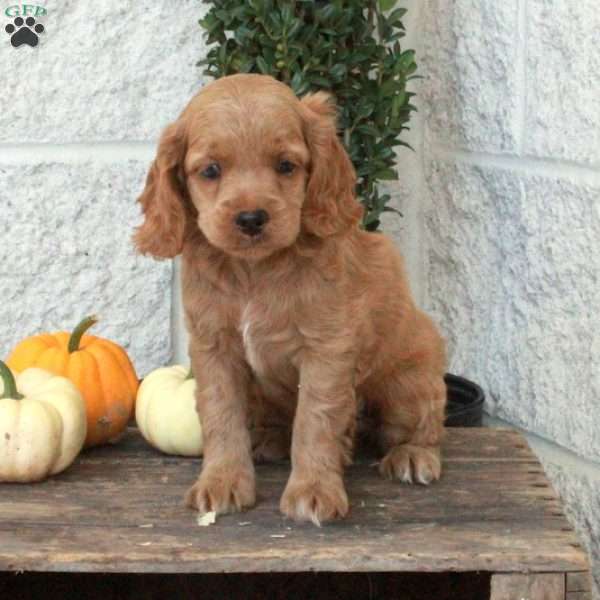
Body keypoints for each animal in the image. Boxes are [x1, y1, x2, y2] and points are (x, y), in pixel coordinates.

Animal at [135, 74, 446, 524]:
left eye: (285, 165)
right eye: (210, 170)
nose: (251, 219)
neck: (254, 271)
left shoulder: (326, 348)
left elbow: (315, 419)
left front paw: (313, 490)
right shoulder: (215, 347)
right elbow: (220, 414)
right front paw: (223, 481)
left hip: (410, 381)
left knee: (422, 423)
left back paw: (413, 456)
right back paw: (269, 441)